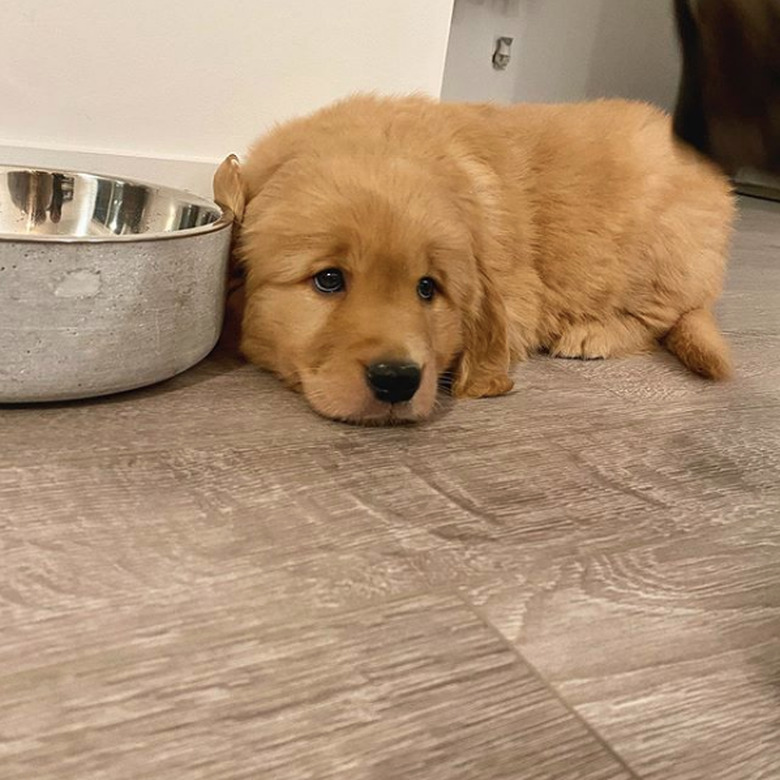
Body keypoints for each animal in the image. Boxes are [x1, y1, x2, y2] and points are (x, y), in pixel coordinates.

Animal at [215, 99, 736, 426]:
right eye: (327, 280)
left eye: (427, 288)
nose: (397, 380)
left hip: (658, 250)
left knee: (660, 316)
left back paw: (594, 333)